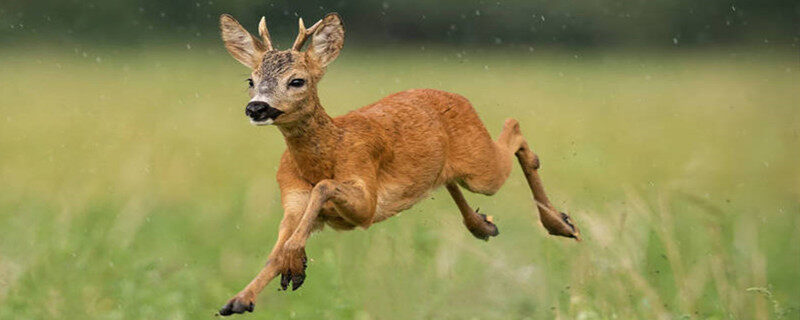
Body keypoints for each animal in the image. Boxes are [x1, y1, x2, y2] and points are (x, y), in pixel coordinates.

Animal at [217, 11, 580, 316]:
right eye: (250, 81)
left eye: (297, 81)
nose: (257, 108)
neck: (326, 154)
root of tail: (458, 97)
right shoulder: (292, 202)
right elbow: (275, 251)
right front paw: (240, 299)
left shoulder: (365, 200)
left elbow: (323, 189)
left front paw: (294, 265)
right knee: (450, 178)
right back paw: (483, 224)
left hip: (481, 167)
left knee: (514, 129)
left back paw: (561, 224)